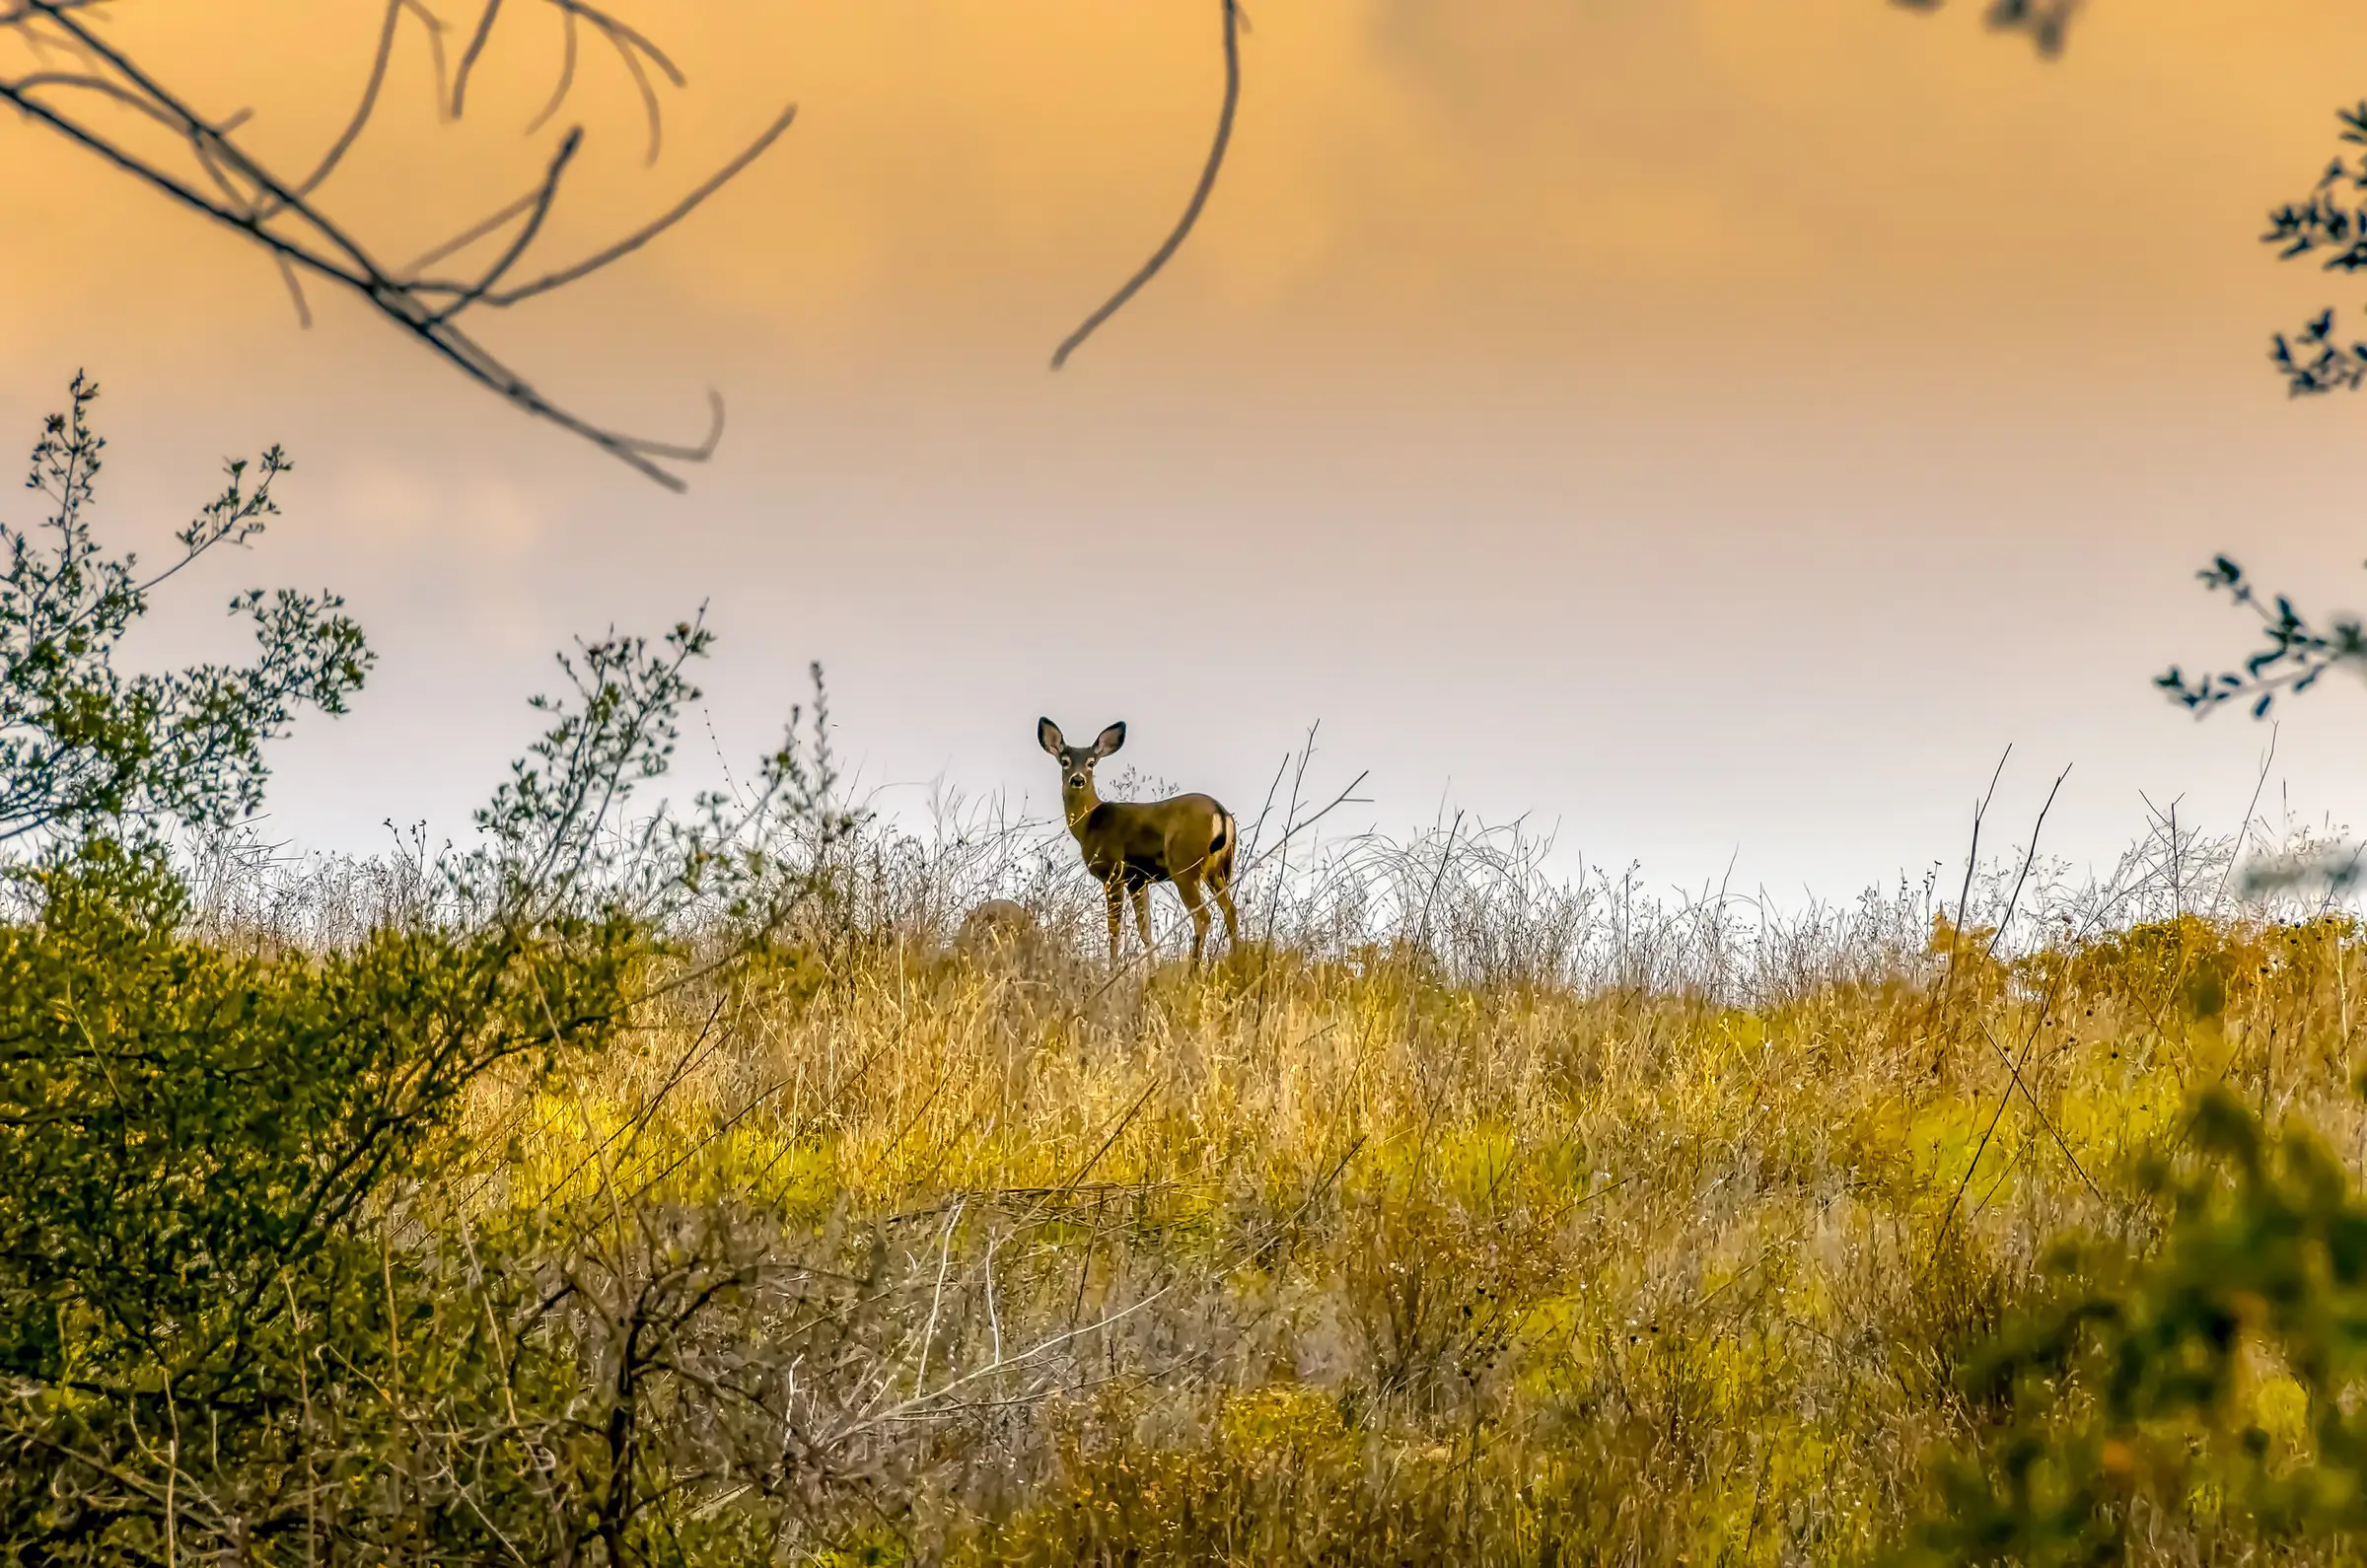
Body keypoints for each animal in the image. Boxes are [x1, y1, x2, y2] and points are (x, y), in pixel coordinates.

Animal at [1038, 718, 1240, 968]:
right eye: (1065, 761)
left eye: (1091, 763)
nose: (1077, 779)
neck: (1089, 823)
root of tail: (1220, 812)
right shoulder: (1137, 880)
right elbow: (1145, 930)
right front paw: (1152, 970)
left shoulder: (1114, 871)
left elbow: (1114, 928)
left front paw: (1113, 968)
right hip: (1219, 870)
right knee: (1231, 911)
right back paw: (1237, 960)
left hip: (1184, 865)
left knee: (1203, 916)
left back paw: (1194, 970)